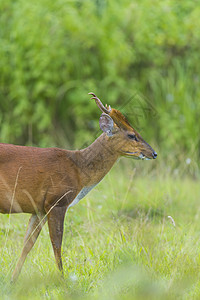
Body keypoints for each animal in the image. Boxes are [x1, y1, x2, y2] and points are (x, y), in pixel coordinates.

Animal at [0, 92, 156, 280]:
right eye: (132, 135)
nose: (153, 153)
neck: (78, 170)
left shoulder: (39, 209)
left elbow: (27, 244)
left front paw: (13, 280)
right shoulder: (56, 201)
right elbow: (56, 243)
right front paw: (62, 279)